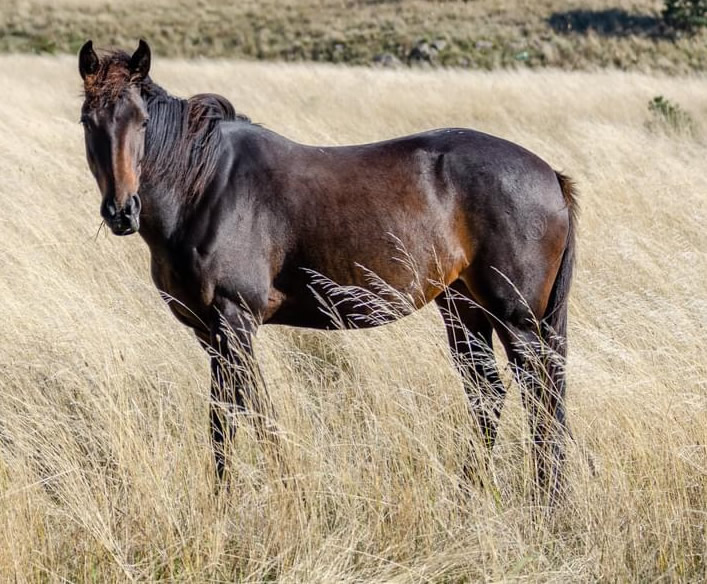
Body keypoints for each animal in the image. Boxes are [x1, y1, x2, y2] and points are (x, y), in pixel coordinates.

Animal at [78, 40, 578, 501]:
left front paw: (279, 491)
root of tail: (550, 175)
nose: (121, 212)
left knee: (539, 394)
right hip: (463, 309)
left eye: (143, 121)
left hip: (515, 319)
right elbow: (228, 415)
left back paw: (545, 499)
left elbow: (248, 411)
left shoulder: (234, 320)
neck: (203, 187)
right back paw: (469, 492)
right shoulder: (209, 330)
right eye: (88, 121)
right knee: (489, 394)